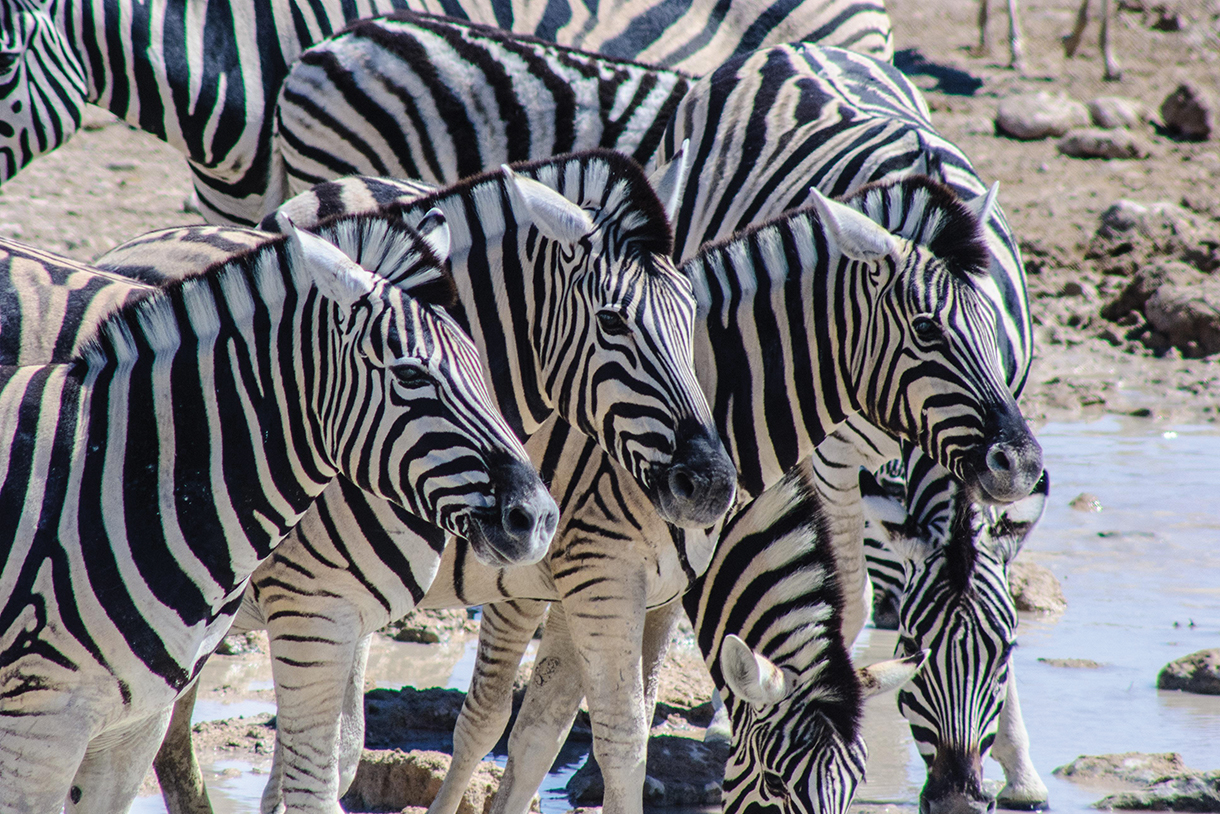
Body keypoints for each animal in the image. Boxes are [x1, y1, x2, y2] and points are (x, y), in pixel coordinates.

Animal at [0, 212, 558, 814]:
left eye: (483, 364)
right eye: (411, 375)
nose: (538, 519)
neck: (123, 474)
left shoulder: (133, 725)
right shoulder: (42, 726)